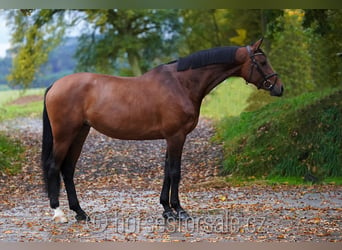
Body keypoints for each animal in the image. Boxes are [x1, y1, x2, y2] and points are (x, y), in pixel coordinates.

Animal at [42, 38, 284, 223]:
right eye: (262, 61)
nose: (279, 88)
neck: (181, 84)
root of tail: (54, 85)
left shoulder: (171, 137)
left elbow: (167, 171)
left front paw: (167, 210)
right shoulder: (176, 136)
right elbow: (175, 172)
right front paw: (180, 211)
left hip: (80, 134)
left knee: (68, 170)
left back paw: (80, 213)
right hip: (64, 135)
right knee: (54, 167)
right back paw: (59, 213)